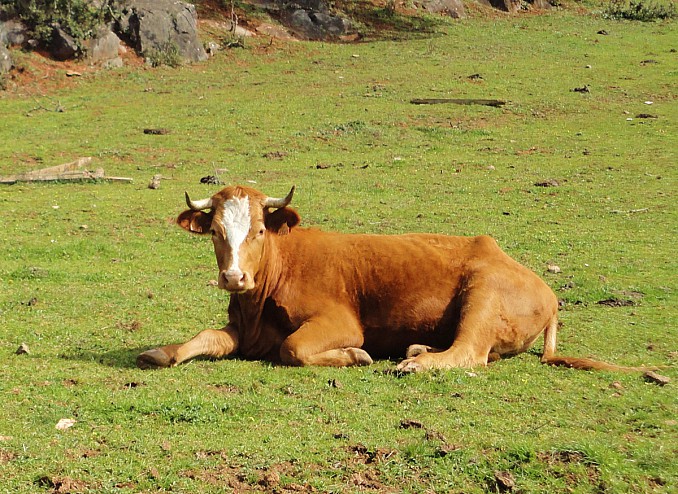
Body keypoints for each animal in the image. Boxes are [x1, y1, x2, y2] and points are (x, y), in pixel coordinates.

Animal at [137, 185, 651, 373]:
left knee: (470, 352)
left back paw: (414, 364)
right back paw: (419, 350)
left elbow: (295, 348)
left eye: (260, 230)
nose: (233, 276)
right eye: (217, 232)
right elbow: (205, 337)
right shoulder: (243, 330)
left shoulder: (339, 321)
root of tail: (545, 288)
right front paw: (161, 352)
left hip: (484, 294)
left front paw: (356, 356)